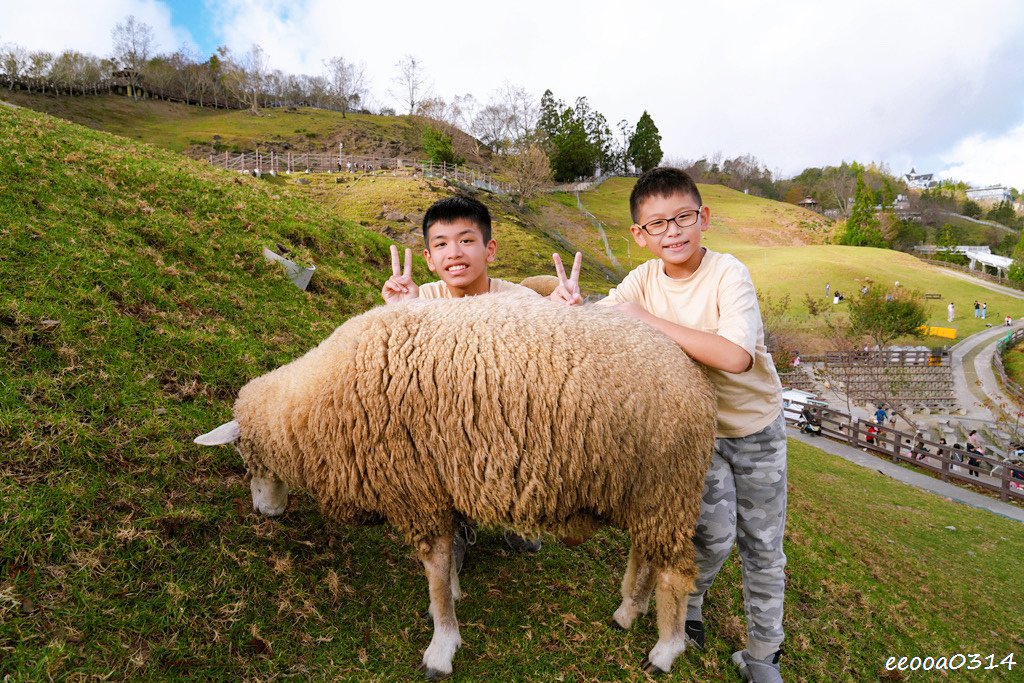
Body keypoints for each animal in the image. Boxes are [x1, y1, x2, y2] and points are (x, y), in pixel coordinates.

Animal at [195, 294, 716, 679]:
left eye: (246, 457)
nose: (265, 514)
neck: (321, 406)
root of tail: (694, 376)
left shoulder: (417, 491)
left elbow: (434, 568)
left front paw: (442, 645)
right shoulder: (439, 487)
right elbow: (446, 562)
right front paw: (453, 596)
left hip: (668, 483)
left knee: (676, 571)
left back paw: (665, 650)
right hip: (645, 490)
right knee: (646, 554)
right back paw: (629, 610)